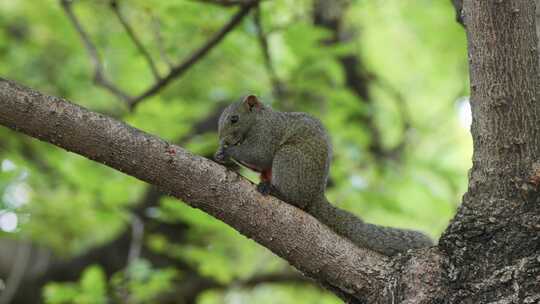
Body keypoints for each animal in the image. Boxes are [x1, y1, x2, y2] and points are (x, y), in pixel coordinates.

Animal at [213, 95, 432, 256]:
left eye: (234, 119)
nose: (223, 139)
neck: (258, 119)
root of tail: (315, 195)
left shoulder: (267, 132)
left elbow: (260, 155)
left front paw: (229, 152)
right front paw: (220, 154)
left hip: (290, 158)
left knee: (296, 199)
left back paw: (276, 192)